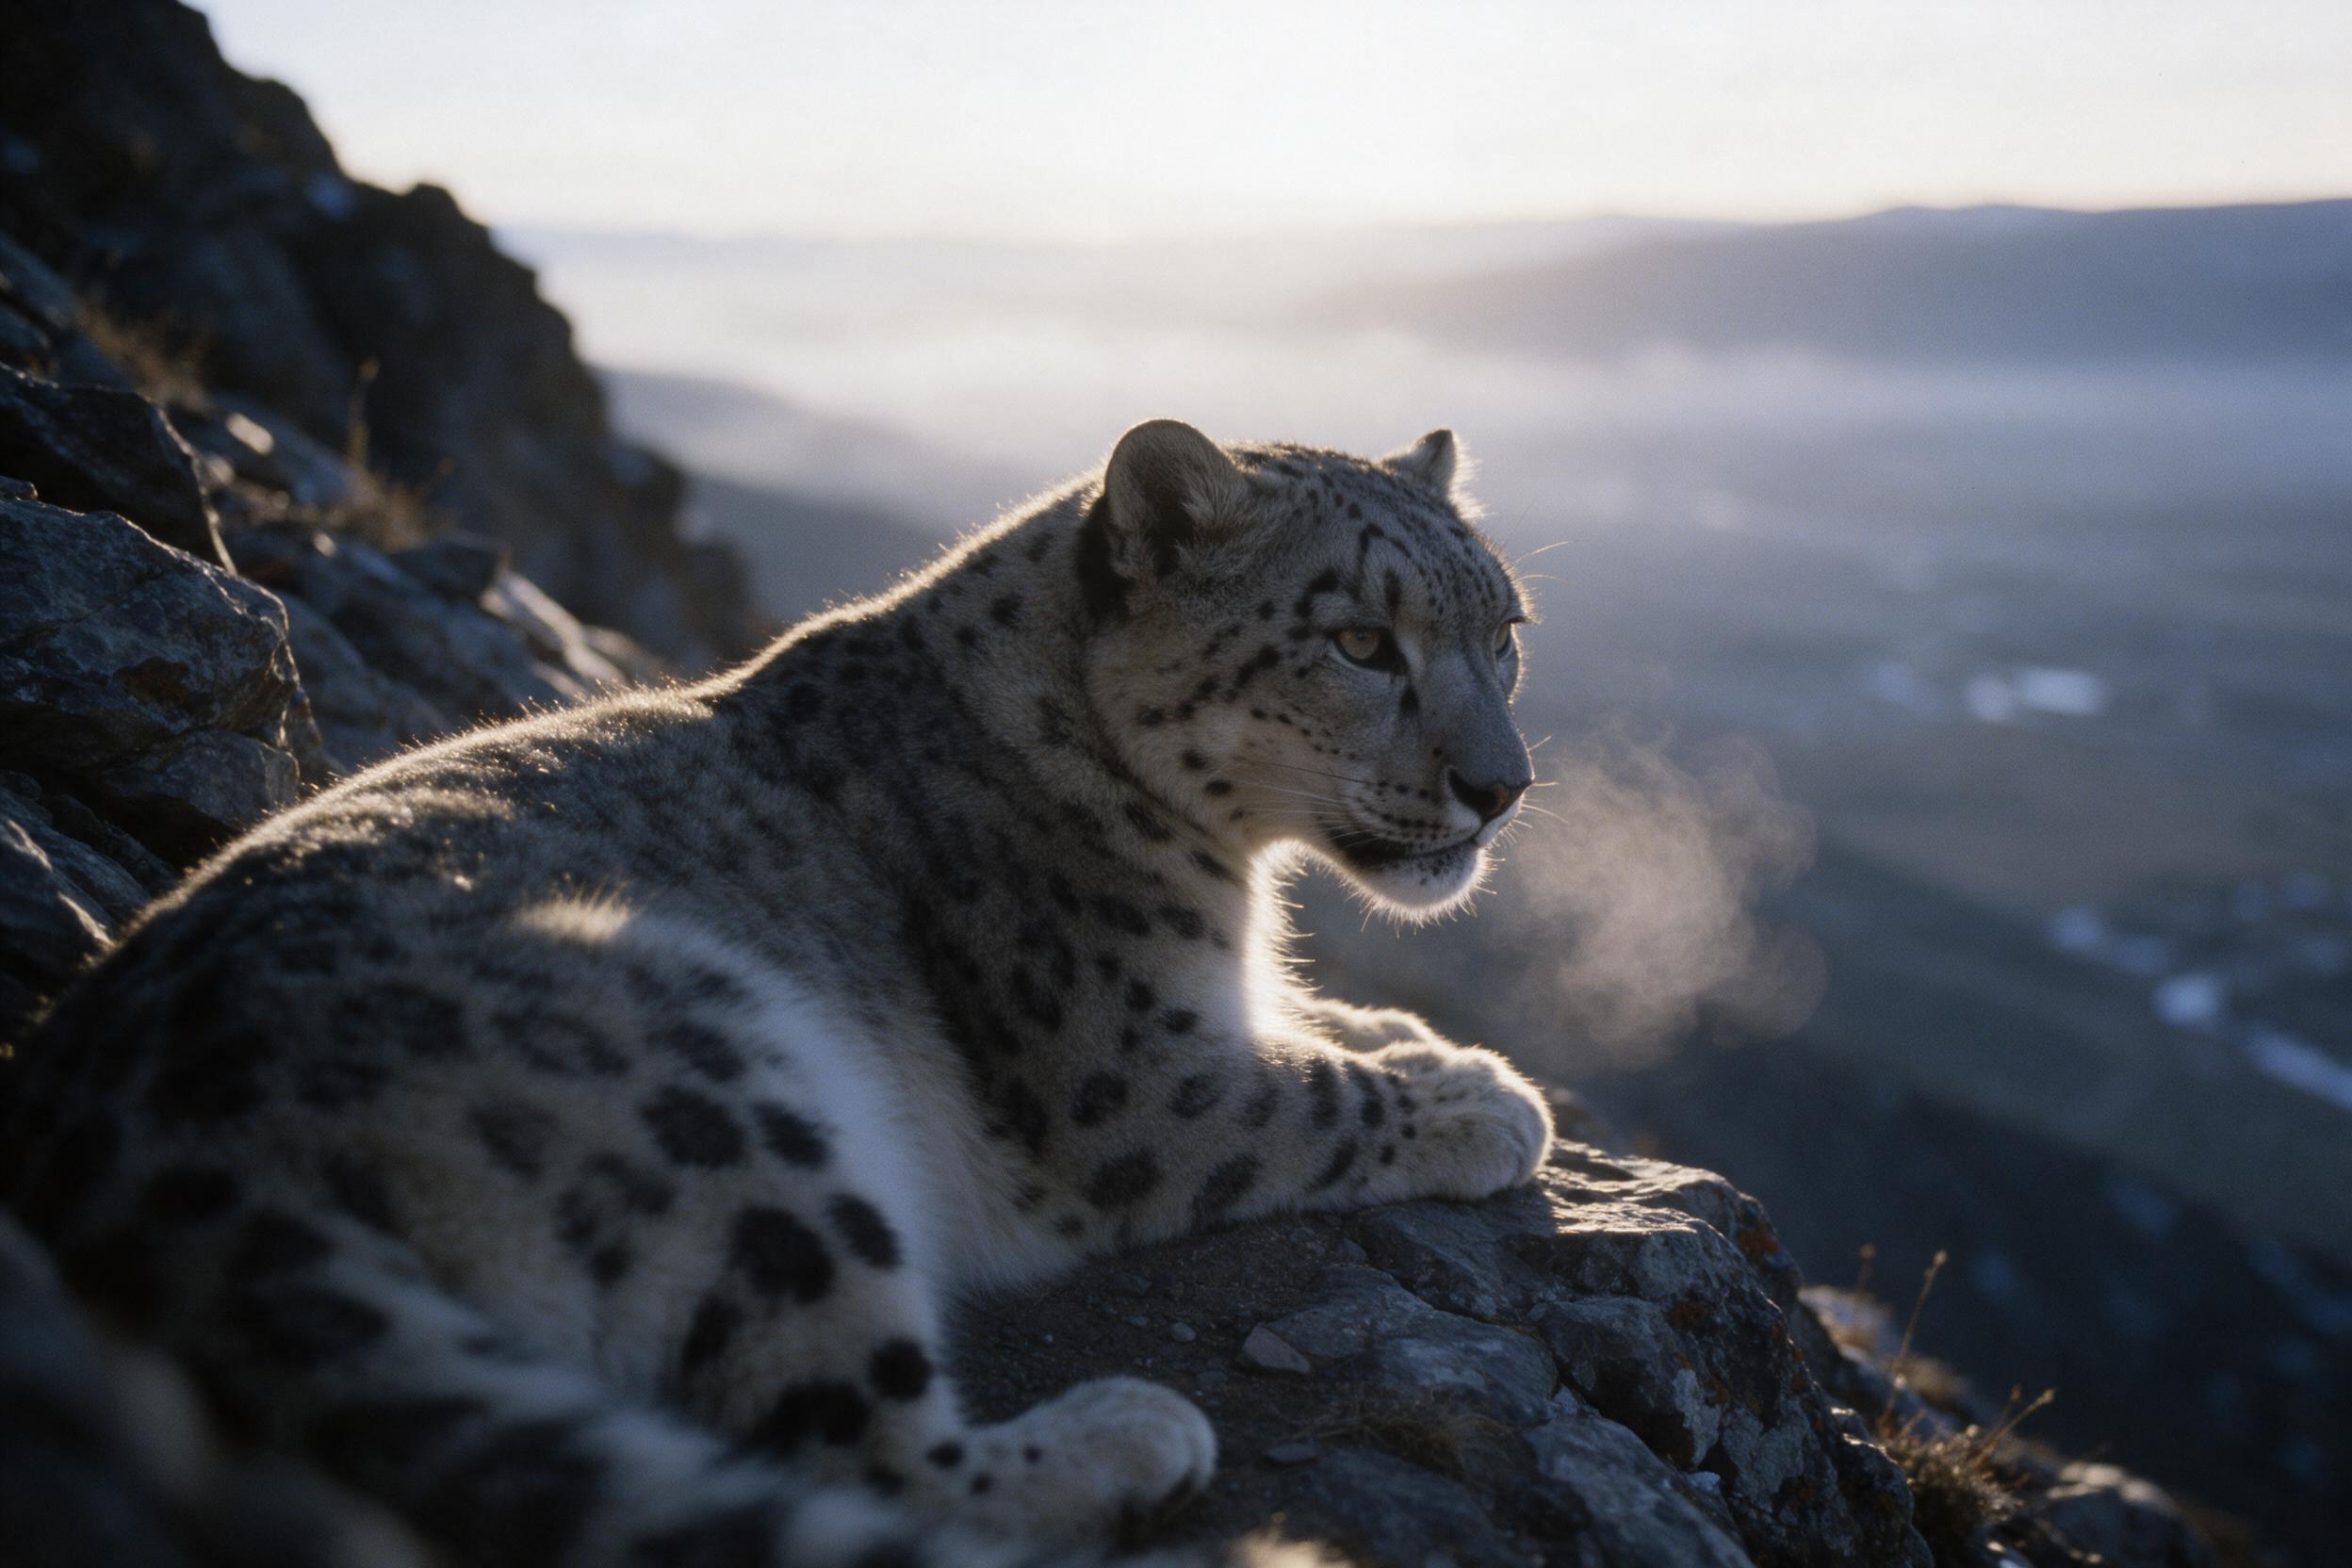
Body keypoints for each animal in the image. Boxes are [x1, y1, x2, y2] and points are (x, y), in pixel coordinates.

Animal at [0, 420, 1552, 1567]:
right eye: (1361, 643)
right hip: (716, 1097)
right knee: (858, 1453)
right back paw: (1128, 1436)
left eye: (1507, 633)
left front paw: (1414, 1032)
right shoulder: (1134, 1082)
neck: (1233, 879)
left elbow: (1315, 1029)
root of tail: (116, 1124)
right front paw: (1486, 1098)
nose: (1505, 788)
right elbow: (1312, 1100)